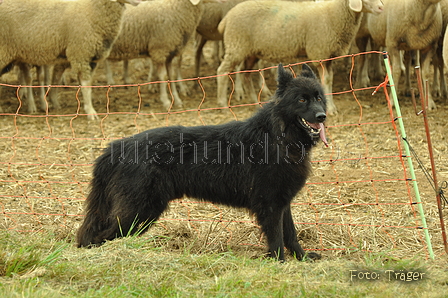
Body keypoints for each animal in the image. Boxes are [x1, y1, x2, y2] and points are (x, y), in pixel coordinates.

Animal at [0, 0, 141, 119]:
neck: (91, 11)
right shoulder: (81, 53)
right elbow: (86, 85)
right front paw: (91, 112)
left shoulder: (90, 59)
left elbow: (86, 85)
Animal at [77, 63, 328, 260]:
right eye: (302, 99)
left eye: (318, 98)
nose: (322, 116)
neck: (277, 136)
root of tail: (115, 147)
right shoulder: (270, 205)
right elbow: (276, 239)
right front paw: (279, 263)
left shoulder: (282, 203)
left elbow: (291, 234)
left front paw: (302, 258)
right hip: (139, 210)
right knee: (100, 235)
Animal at [215, 0, 384, 114]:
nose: (381, 7)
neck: (335, 13)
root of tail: (227, 18)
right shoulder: (319, 52)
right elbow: (325, 81)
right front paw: (330, 109)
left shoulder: (328, 56)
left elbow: (329, 80)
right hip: (237, 45)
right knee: (222, 71)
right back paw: (223, 104)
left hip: (251, 52)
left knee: (246, 75)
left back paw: (255, 102)